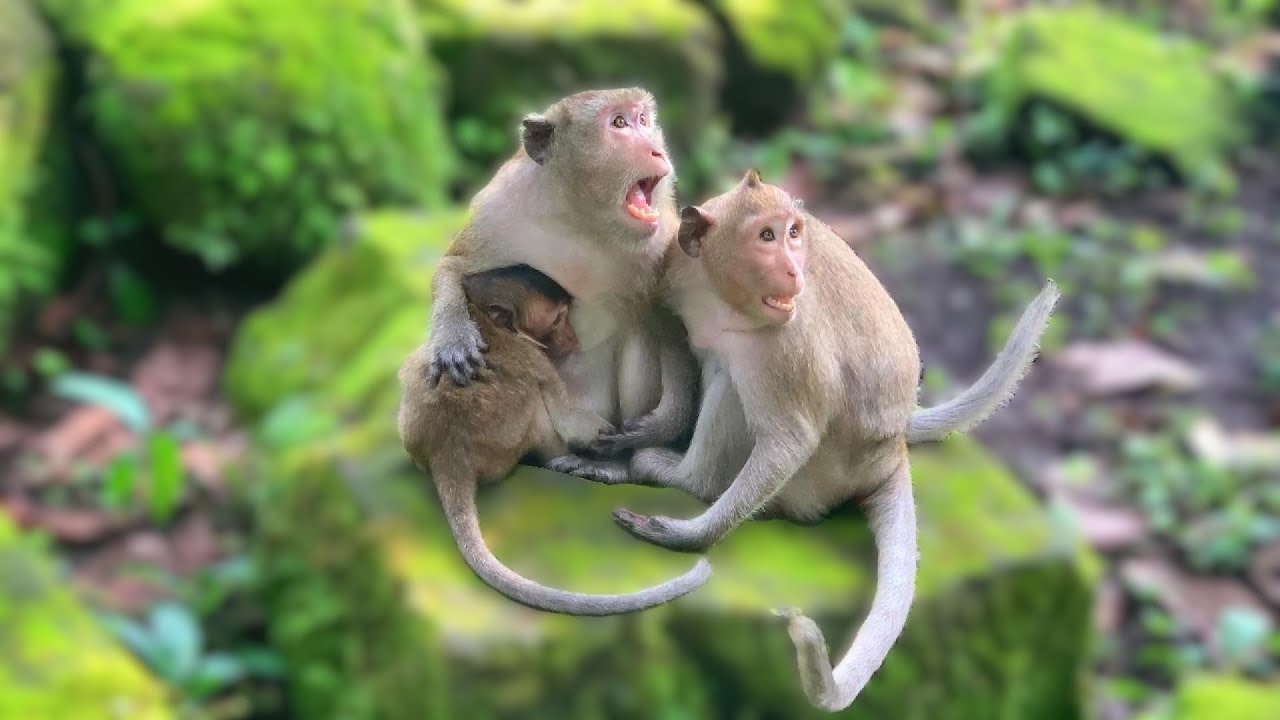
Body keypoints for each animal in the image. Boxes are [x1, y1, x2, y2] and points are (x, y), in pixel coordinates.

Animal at [397, 265, 711, 616]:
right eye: (559, 319)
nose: (573, 338)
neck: (485, 319)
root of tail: (450, 453)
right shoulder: (538, 359)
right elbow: (567, 417)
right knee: (540, 403)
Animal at [422, 88, 698, 479]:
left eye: (643, 120)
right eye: (619, 122)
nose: (657, 150)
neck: (581, 220)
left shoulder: (663, 244)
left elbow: (671, 330)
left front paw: (661, 427)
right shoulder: (498, 208)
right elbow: (454, 266)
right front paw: (453, 338)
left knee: (640, 333)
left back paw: (609, 463)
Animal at [599, 170, 1058, 711]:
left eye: (792, 233)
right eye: (767, 236)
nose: (794, 271)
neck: (717, 293)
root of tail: (891, 449)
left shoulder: (786, 339)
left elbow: (791, 437)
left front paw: (689, 535)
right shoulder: (670, 271)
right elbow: (674, 337)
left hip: (821, 474)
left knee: (737, 381)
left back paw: (688, 477)